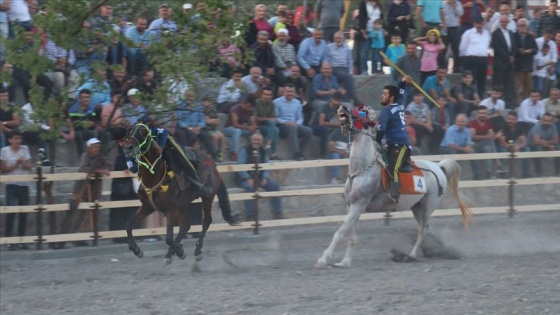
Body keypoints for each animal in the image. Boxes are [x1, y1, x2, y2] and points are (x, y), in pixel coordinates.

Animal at [123, 124, 237, 266]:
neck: (155, 177)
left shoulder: (170, 210)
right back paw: (170, 254)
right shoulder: (147, 206)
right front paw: (136, 249)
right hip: (182, 206)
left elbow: (168, 238)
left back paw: (197, 251)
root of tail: (214, 166)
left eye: (143, 132)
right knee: (185, 226)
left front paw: (180, 251)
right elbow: (128, 225)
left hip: (207, 197)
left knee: (206, 221)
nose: (128, 147)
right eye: (130, 132)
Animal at [318, 105, 470, 268]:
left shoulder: (359, 205)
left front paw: (323, 259)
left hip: (428, 206)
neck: (361, 170)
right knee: (425, 229)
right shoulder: (351, 206)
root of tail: (438, 166)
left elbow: (340, 232)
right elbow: (351, 235)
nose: (343, 107)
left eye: (362, 113)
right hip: (416, 207)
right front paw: (345, 261)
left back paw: (410, 256)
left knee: (422, 231)